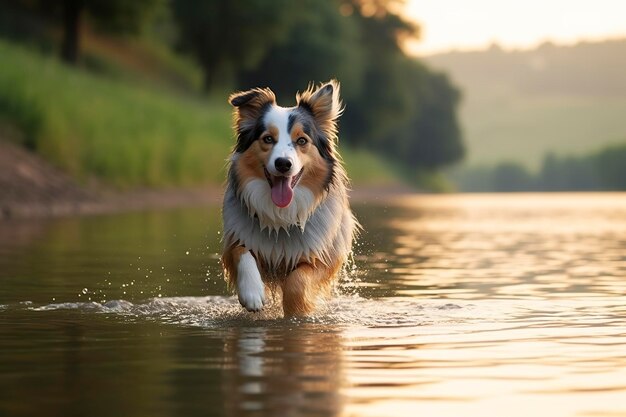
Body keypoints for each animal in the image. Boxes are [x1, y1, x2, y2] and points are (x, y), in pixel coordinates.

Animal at [219, 80, 356, 316]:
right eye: (267, 139)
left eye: (301, 140)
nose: (283, 164)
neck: (281, 216)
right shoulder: (235, 237)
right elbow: (241, 251)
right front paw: (252, 294)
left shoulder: (325, 256)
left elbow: (297, 281)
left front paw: (296, 312)